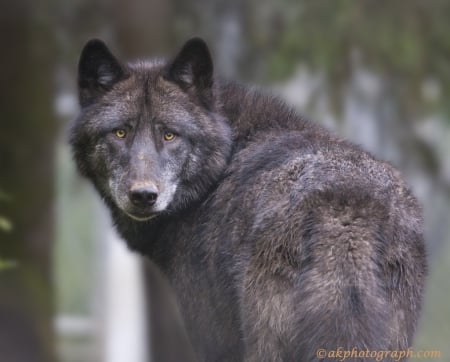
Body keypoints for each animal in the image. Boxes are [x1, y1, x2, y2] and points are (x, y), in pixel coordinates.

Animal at [70, 38, 426, 360]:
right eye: (120, 132)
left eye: (170, 135)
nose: (144, 196)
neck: (225, 157)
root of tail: (344, 212)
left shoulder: (212, 339)